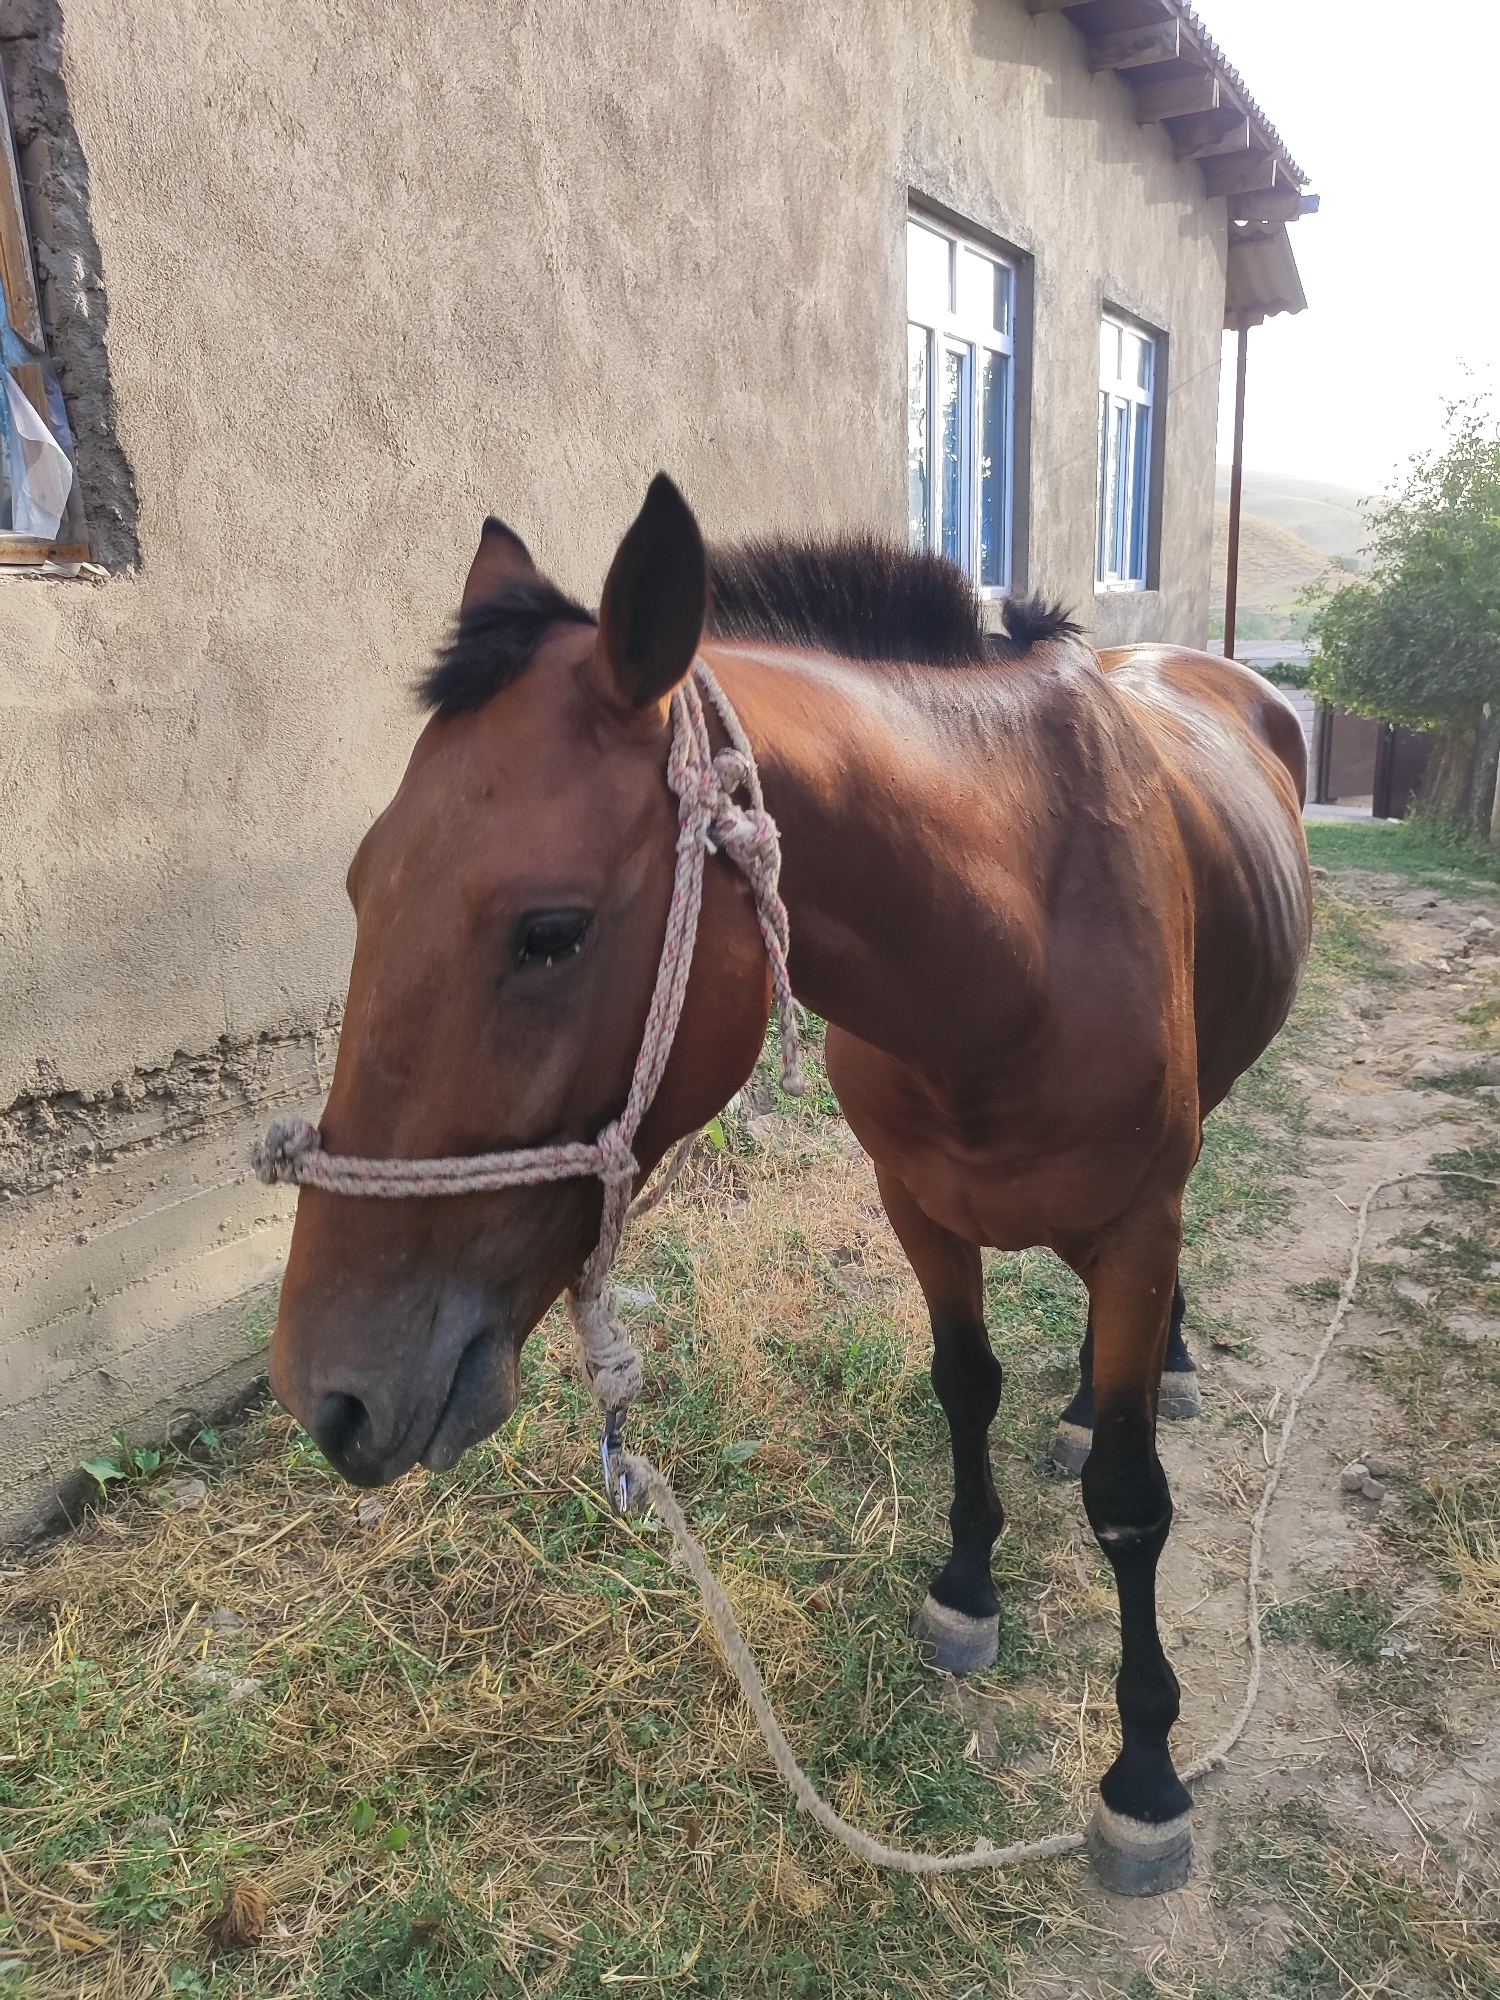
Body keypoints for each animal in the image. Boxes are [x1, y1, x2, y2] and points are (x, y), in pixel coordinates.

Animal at [268, 474, 1311, 1894]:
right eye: (360, 887)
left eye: (551, 931)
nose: (329, 1390)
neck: (1019, 942)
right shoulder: (918, 1207)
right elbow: (965, 1388)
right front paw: (968, 1589)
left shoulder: (1141, 1227)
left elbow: (1131, 1504)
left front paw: (1145, 1774)